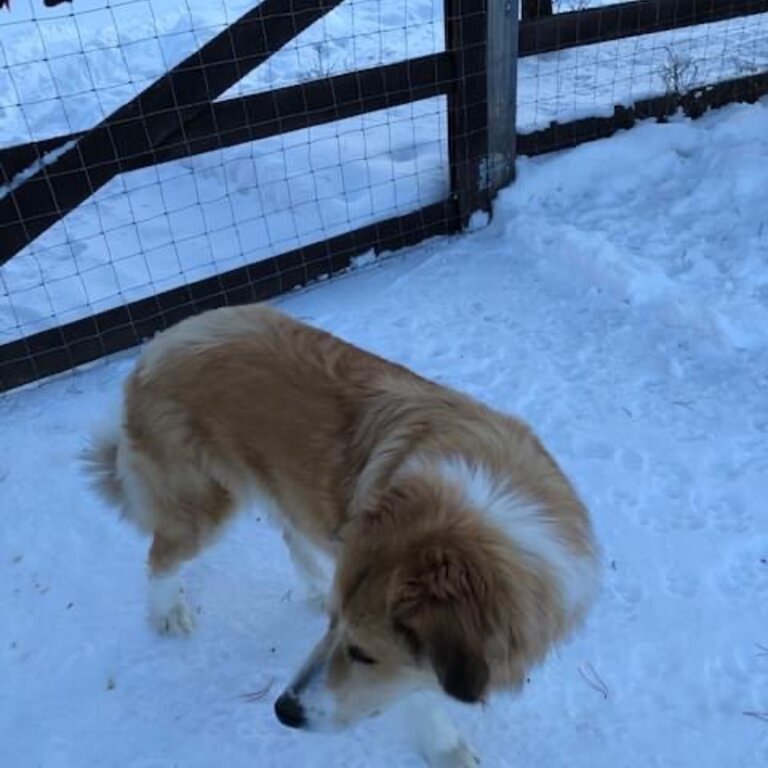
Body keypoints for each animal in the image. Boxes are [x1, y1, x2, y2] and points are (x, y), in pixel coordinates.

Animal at [84, 304, 600, 764]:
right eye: (340, 633)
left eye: (361, 653)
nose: (283, 711)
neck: (484, 510)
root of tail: (157, 344)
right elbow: (420, 697)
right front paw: (446, 749)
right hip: (204, 506)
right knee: (161, 555)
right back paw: (167, 613)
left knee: (289, 530)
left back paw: (312, 583)